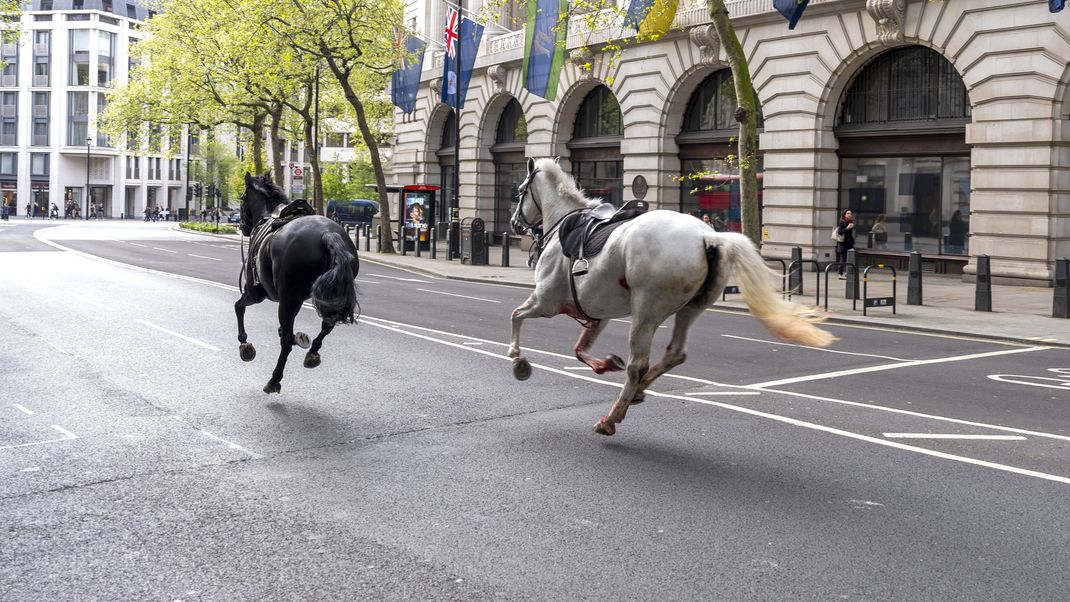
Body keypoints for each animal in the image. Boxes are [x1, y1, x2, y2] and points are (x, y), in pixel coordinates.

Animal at [235, 172, 359, 393]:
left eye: (242, 198)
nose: (243, 226)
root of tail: (327, 234)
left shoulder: (255, 293)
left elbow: (238, 307)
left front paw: (244, 344)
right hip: (328, 296)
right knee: (327, 324)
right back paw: (312, 352)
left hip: (286, 300)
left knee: (286, 341)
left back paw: (274, 380)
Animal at [509, 158, 834, 436]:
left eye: (520, 191)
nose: (514, 224)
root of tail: (709, 236)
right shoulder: (597, 312)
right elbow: (580, 349)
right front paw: (604, 363)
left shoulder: (546, 301)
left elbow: (516, 316)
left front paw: (518, 360)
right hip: (691, 308)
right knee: (674, 354)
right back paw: (638, 392)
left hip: (646, 312)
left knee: (637, 365)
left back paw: (612, 417)